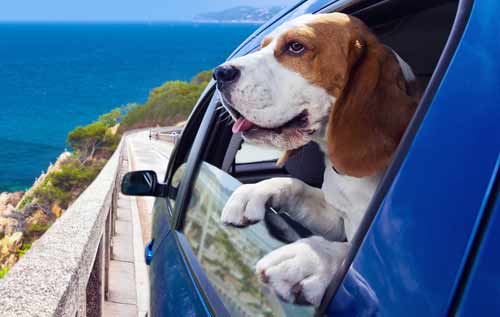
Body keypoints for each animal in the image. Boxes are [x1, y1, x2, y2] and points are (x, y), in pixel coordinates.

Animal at [213, 12, 420, 306]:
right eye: (264, 45)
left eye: (296, 47)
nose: (220, 73)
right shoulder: (336, 219)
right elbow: (294, 185)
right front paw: (253, 192)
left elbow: (347, 254)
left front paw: (313, 258)